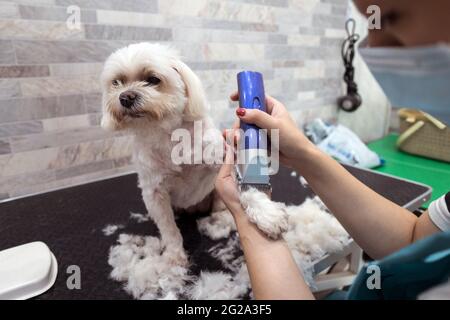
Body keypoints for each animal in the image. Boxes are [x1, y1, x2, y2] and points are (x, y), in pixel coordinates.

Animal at [100, 42, 286, 268]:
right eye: (116, 82)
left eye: (153, 79)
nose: (125, 97)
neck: (168, 136)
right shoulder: (154, 193)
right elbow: (168, 229)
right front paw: (174, 255)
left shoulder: (223, 162)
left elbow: (248, 187)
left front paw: (266, 213)